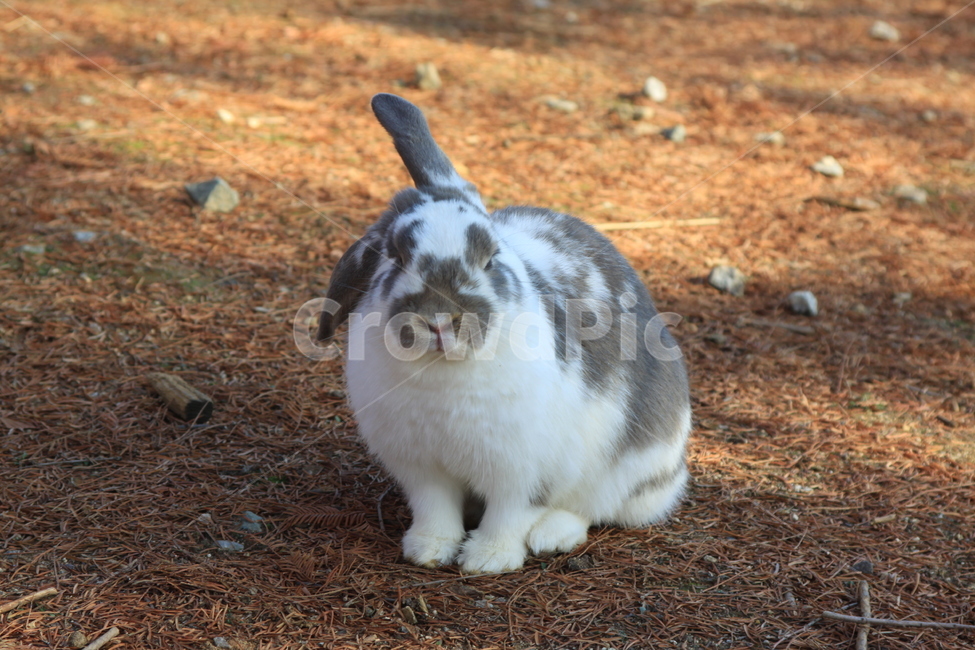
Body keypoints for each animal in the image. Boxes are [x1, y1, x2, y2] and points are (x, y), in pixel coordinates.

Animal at [317, 93, 691, 574]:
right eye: (396, 256)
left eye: (491, 257)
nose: (439, 319)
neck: (444, 372)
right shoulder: (422, 469)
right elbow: (435, 508)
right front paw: (428, 550)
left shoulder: (524, 471)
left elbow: (512, 513)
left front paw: (488, 560)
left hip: (630, 469)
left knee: (591, 508)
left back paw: (552, 535)